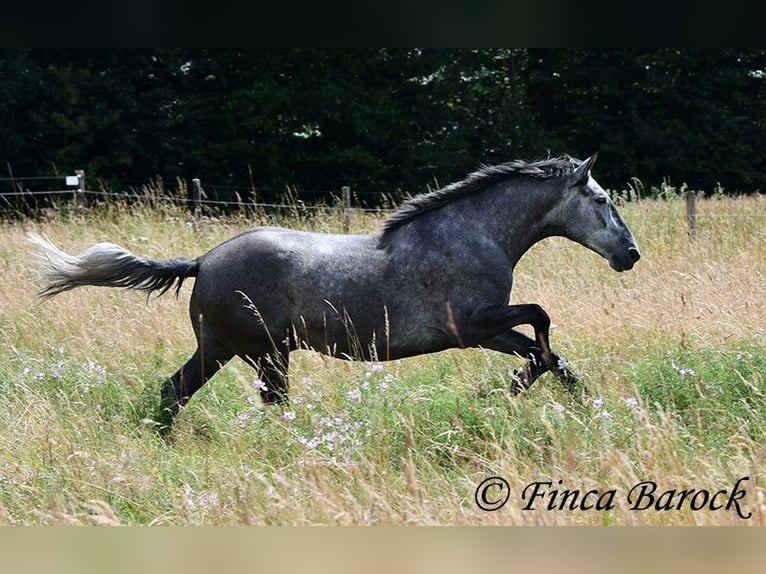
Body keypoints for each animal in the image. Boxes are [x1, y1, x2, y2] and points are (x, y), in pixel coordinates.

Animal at [30, 153, 640, 428]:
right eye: (602, 200)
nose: (630, 254)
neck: (473, 233)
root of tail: (202, 261)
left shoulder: (487, 330)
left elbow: (547, 354)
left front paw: (570, 399)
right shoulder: (473, 325)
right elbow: (541, 322)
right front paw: (499, 394)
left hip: (223, 350)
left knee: (171, 391)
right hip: (264, 354)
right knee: (267, 404)